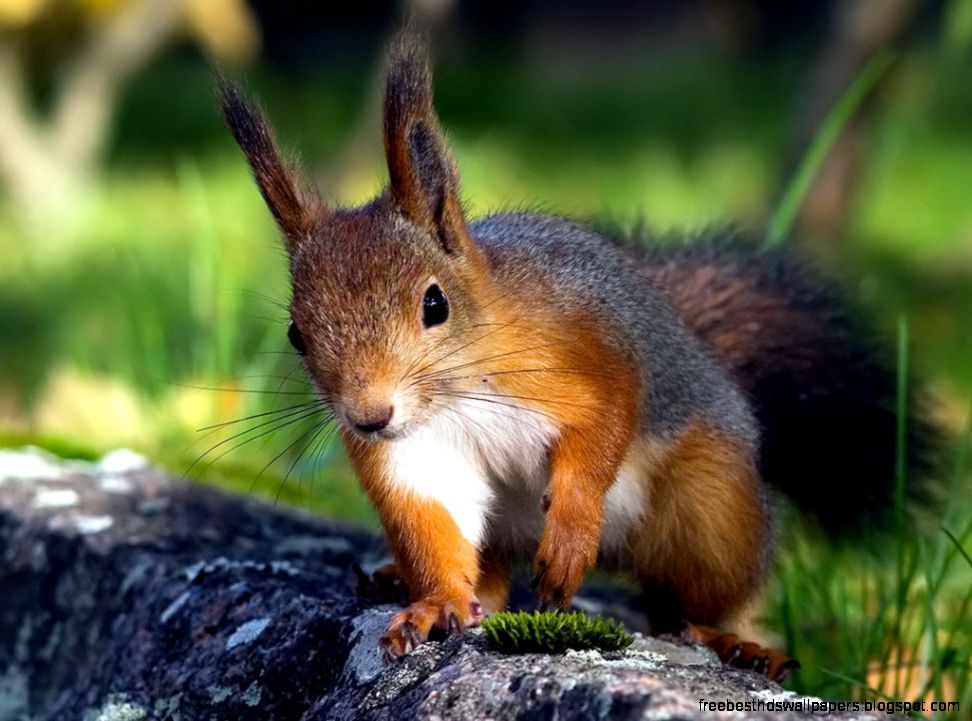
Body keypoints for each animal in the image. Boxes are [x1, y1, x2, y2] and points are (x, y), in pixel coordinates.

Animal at [218, 34, 935, 680]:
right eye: (296, 334)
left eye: (434, 304)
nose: (369, 416)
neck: (459, 388)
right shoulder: (413, 456)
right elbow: (432, 517)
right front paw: (435, 601)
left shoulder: (586, 352)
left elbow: (605, 423)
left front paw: (570, 530)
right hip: (506, 535)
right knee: (495, 579)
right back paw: (412, 578)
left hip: (710, 505)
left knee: (685, 598)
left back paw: (730, 638)